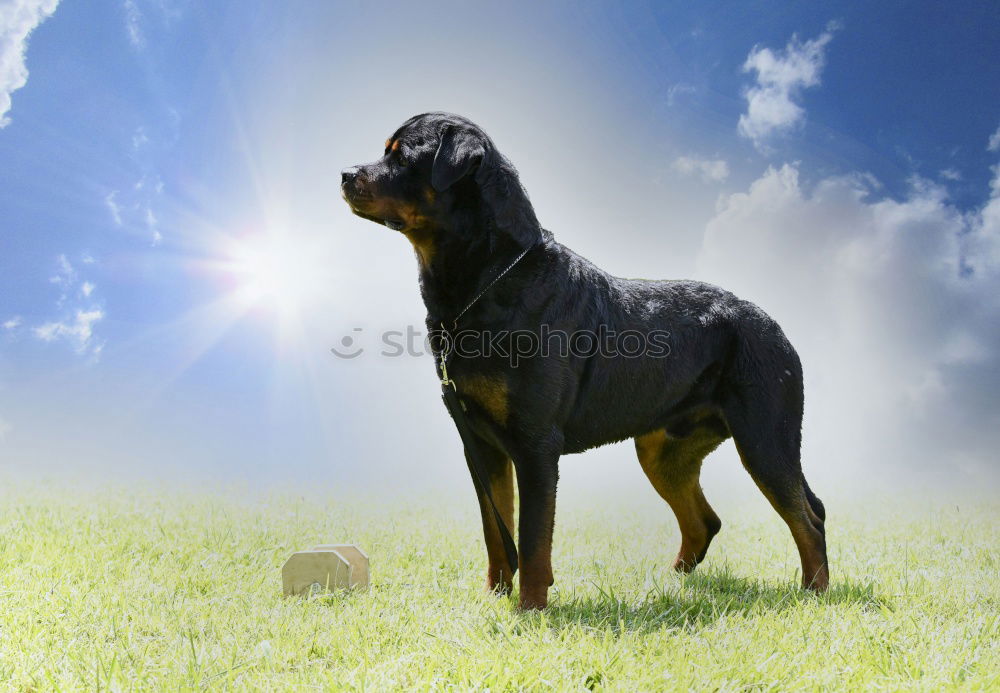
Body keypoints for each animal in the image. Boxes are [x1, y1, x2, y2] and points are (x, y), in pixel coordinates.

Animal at [344, 113, 828, 612]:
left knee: (808, 518)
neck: (486, 281)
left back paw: (813, 592)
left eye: (402, 156)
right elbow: (496, 530)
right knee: (705, 520)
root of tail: (773, 324)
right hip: (663, 448)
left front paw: (529, 609)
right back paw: (670, 586)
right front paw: (495, 595)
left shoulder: (535, 443)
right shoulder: (479, 443)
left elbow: (532, 537)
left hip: (765, 436)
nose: (346, 175)